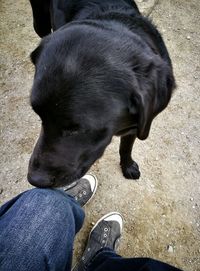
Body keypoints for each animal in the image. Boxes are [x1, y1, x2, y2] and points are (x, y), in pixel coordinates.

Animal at [27, 0, 175, 188]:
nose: (35, 180)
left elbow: (126, 148)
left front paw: (127, 166)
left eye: (76, 130)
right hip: (40, 21)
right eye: (39, 116)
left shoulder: (136, 126)